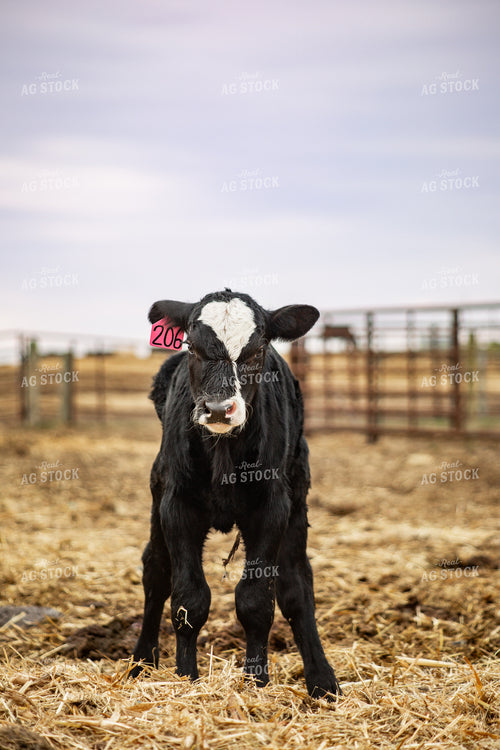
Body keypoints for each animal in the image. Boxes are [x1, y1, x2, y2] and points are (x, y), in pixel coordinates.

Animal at [131, 289, 341, 700]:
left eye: (257, 349)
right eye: (192, 346)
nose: (217, 408)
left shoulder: (271, 510)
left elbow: (256, 601)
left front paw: (256, 682)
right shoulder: (176, 506)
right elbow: (188, 599)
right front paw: (186, 679)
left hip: (297, 500)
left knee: (297, 584)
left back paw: (322, 681)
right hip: (158, 493)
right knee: (156, 573)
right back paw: (140, 662)